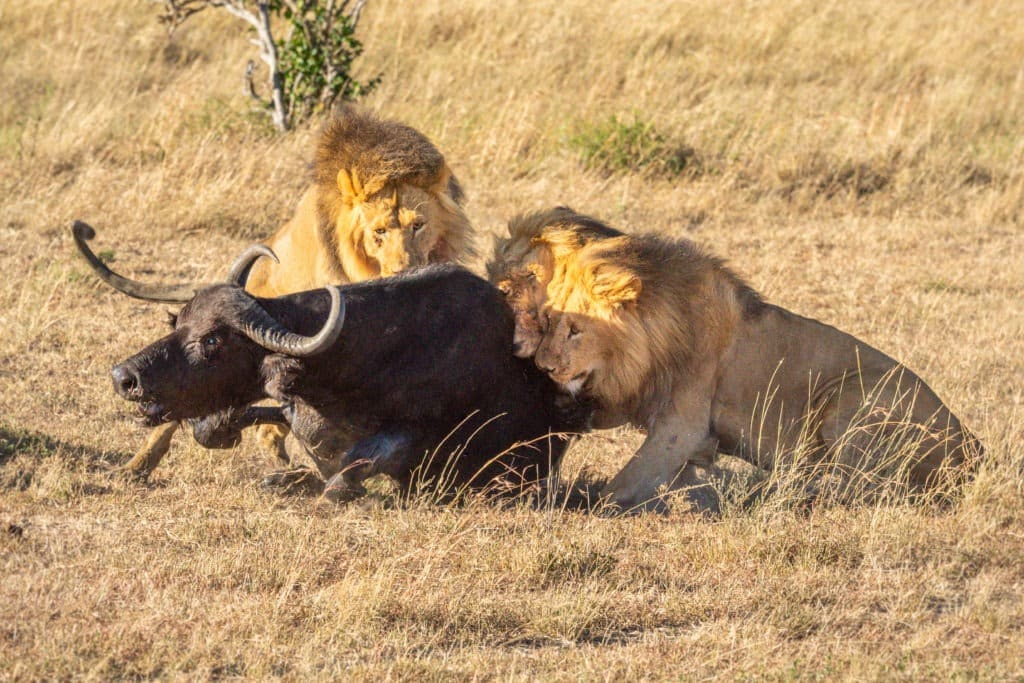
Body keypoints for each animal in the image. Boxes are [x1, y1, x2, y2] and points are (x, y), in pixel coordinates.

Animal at [532, 229, 978, 511]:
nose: (543, 365)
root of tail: (974, 449)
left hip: (851, 396)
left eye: (576, 330)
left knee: (870, 486)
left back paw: (794, 489)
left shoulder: (681, 426)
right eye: (548, 320)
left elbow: (619, 485)